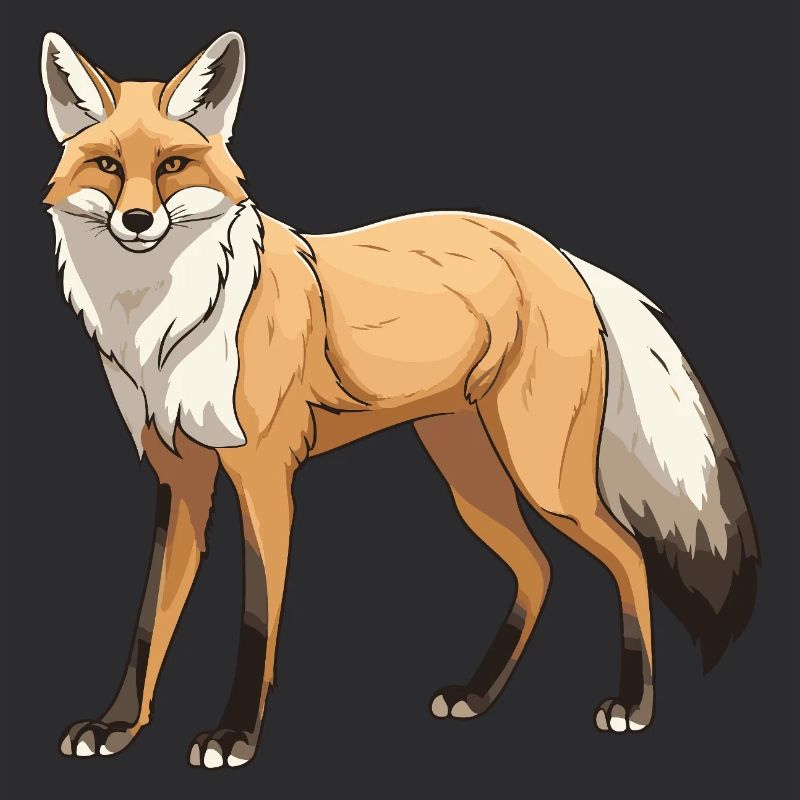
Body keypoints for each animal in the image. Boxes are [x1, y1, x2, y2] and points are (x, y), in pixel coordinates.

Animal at [42, 30, 759, 769]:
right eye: (107, 165)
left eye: (175, 165)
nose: (136, 220)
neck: (167, 328)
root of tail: (556, 250)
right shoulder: (178, 477)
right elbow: (149, 622)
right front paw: (117, 726)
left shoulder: (264, 477)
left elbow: (256, 619)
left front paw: (235, 736)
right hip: (469, 477)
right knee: (538, 569)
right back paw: (477, 696)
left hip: (545, 479)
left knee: (628, 557)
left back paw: (634, 706)